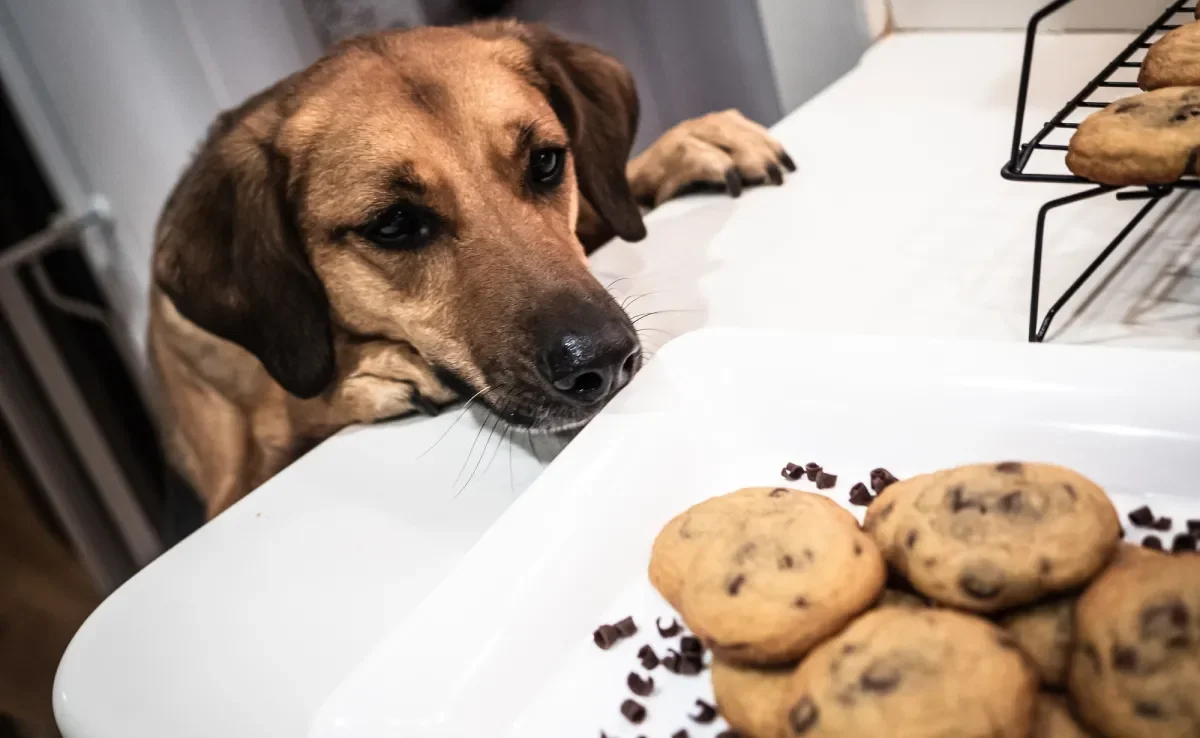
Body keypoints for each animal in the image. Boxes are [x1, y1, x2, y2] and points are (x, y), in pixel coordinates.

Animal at [147, 23, 787, 520]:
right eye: (395, 223)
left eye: (546, 162)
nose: (604, 364)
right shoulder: (231, 480)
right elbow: (282, 410)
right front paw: (362, 375)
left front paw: (685, 145)